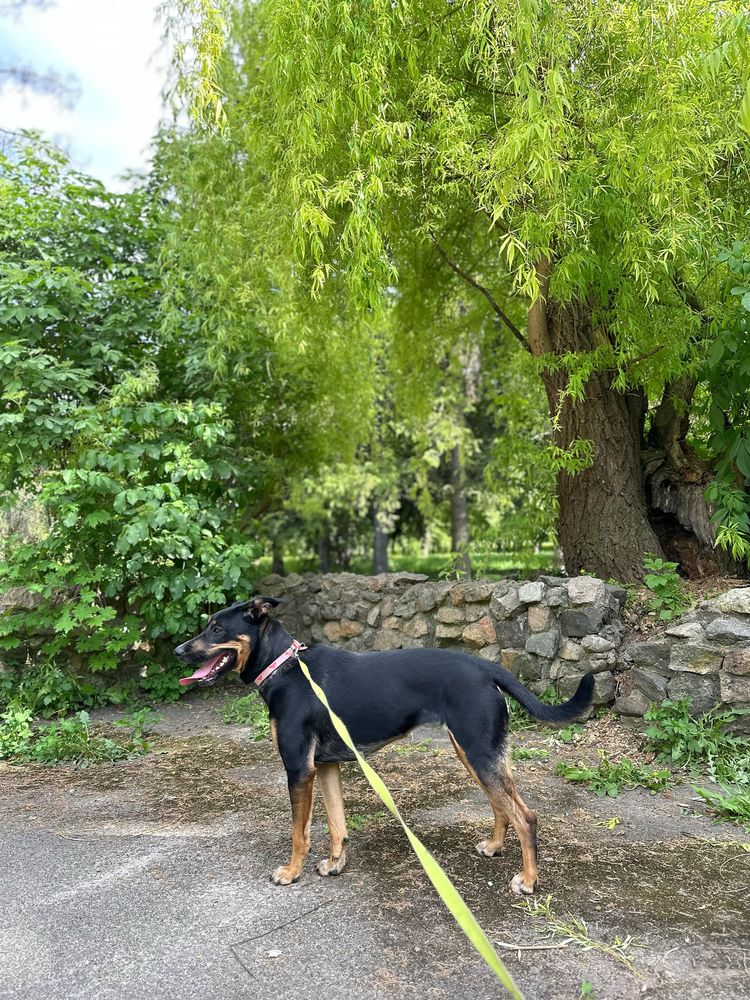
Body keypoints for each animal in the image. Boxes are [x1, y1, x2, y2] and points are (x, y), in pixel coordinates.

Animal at [175, 592, 592, 892]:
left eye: (216, 629)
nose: (178, 652)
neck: (286, 668)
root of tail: (485, 666)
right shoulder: (325, 767)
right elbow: (337, 824)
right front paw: (336, 864)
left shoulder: (299, 769)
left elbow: (299, 832)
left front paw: (291, 872)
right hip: (476, 753)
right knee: (504, 806)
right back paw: (494, 846)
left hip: (478, 752)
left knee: (527, 817)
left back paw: (529, 880)